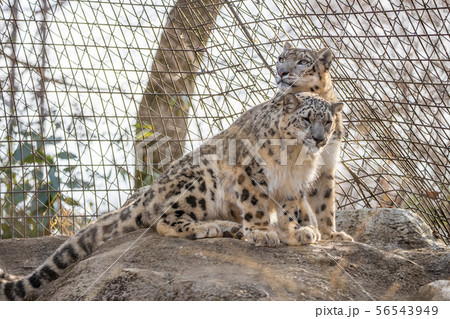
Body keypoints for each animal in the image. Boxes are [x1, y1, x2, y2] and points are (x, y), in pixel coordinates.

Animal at [0, 92, 344, 300]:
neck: (296, 158)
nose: (319, 138)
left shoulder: (292, 185)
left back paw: (230, 228)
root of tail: (147, 193)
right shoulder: (251, 172)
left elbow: (291, 209)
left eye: (327, 121)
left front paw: (299, 232)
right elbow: (257, 203)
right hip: (202, 180)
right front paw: (262, 233)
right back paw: (210, 227)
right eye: (306, 119)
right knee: (164, 220)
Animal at [276, 42, 354, 242]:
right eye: (281, 58)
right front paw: (306, 229)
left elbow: (325, 200)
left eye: (303, 62)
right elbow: (299, 200)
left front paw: (331, 233)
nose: (281, 71)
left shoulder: (327, 162)